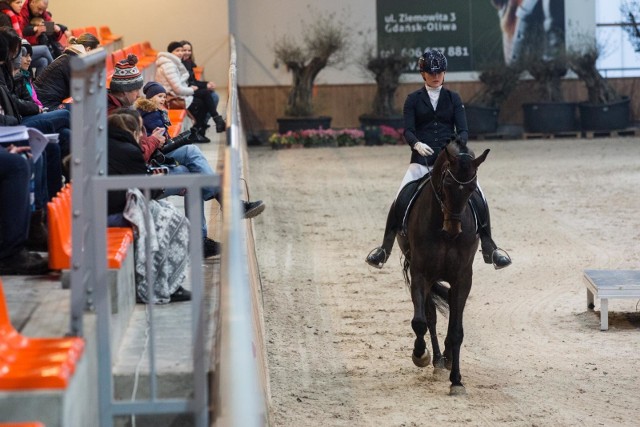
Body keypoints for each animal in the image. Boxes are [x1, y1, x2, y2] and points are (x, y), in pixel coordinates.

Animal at [396, 139, 490, 396]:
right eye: (447, 184)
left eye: (472, 188)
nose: (453, 229)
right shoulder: (421, 274)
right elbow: (421, 321)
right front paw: (420, 355)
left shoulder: (462, 279)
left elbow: (457, 331)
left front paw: (456, 380)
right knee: (430, 316)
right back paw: (437, 358)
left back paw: (446, 358)